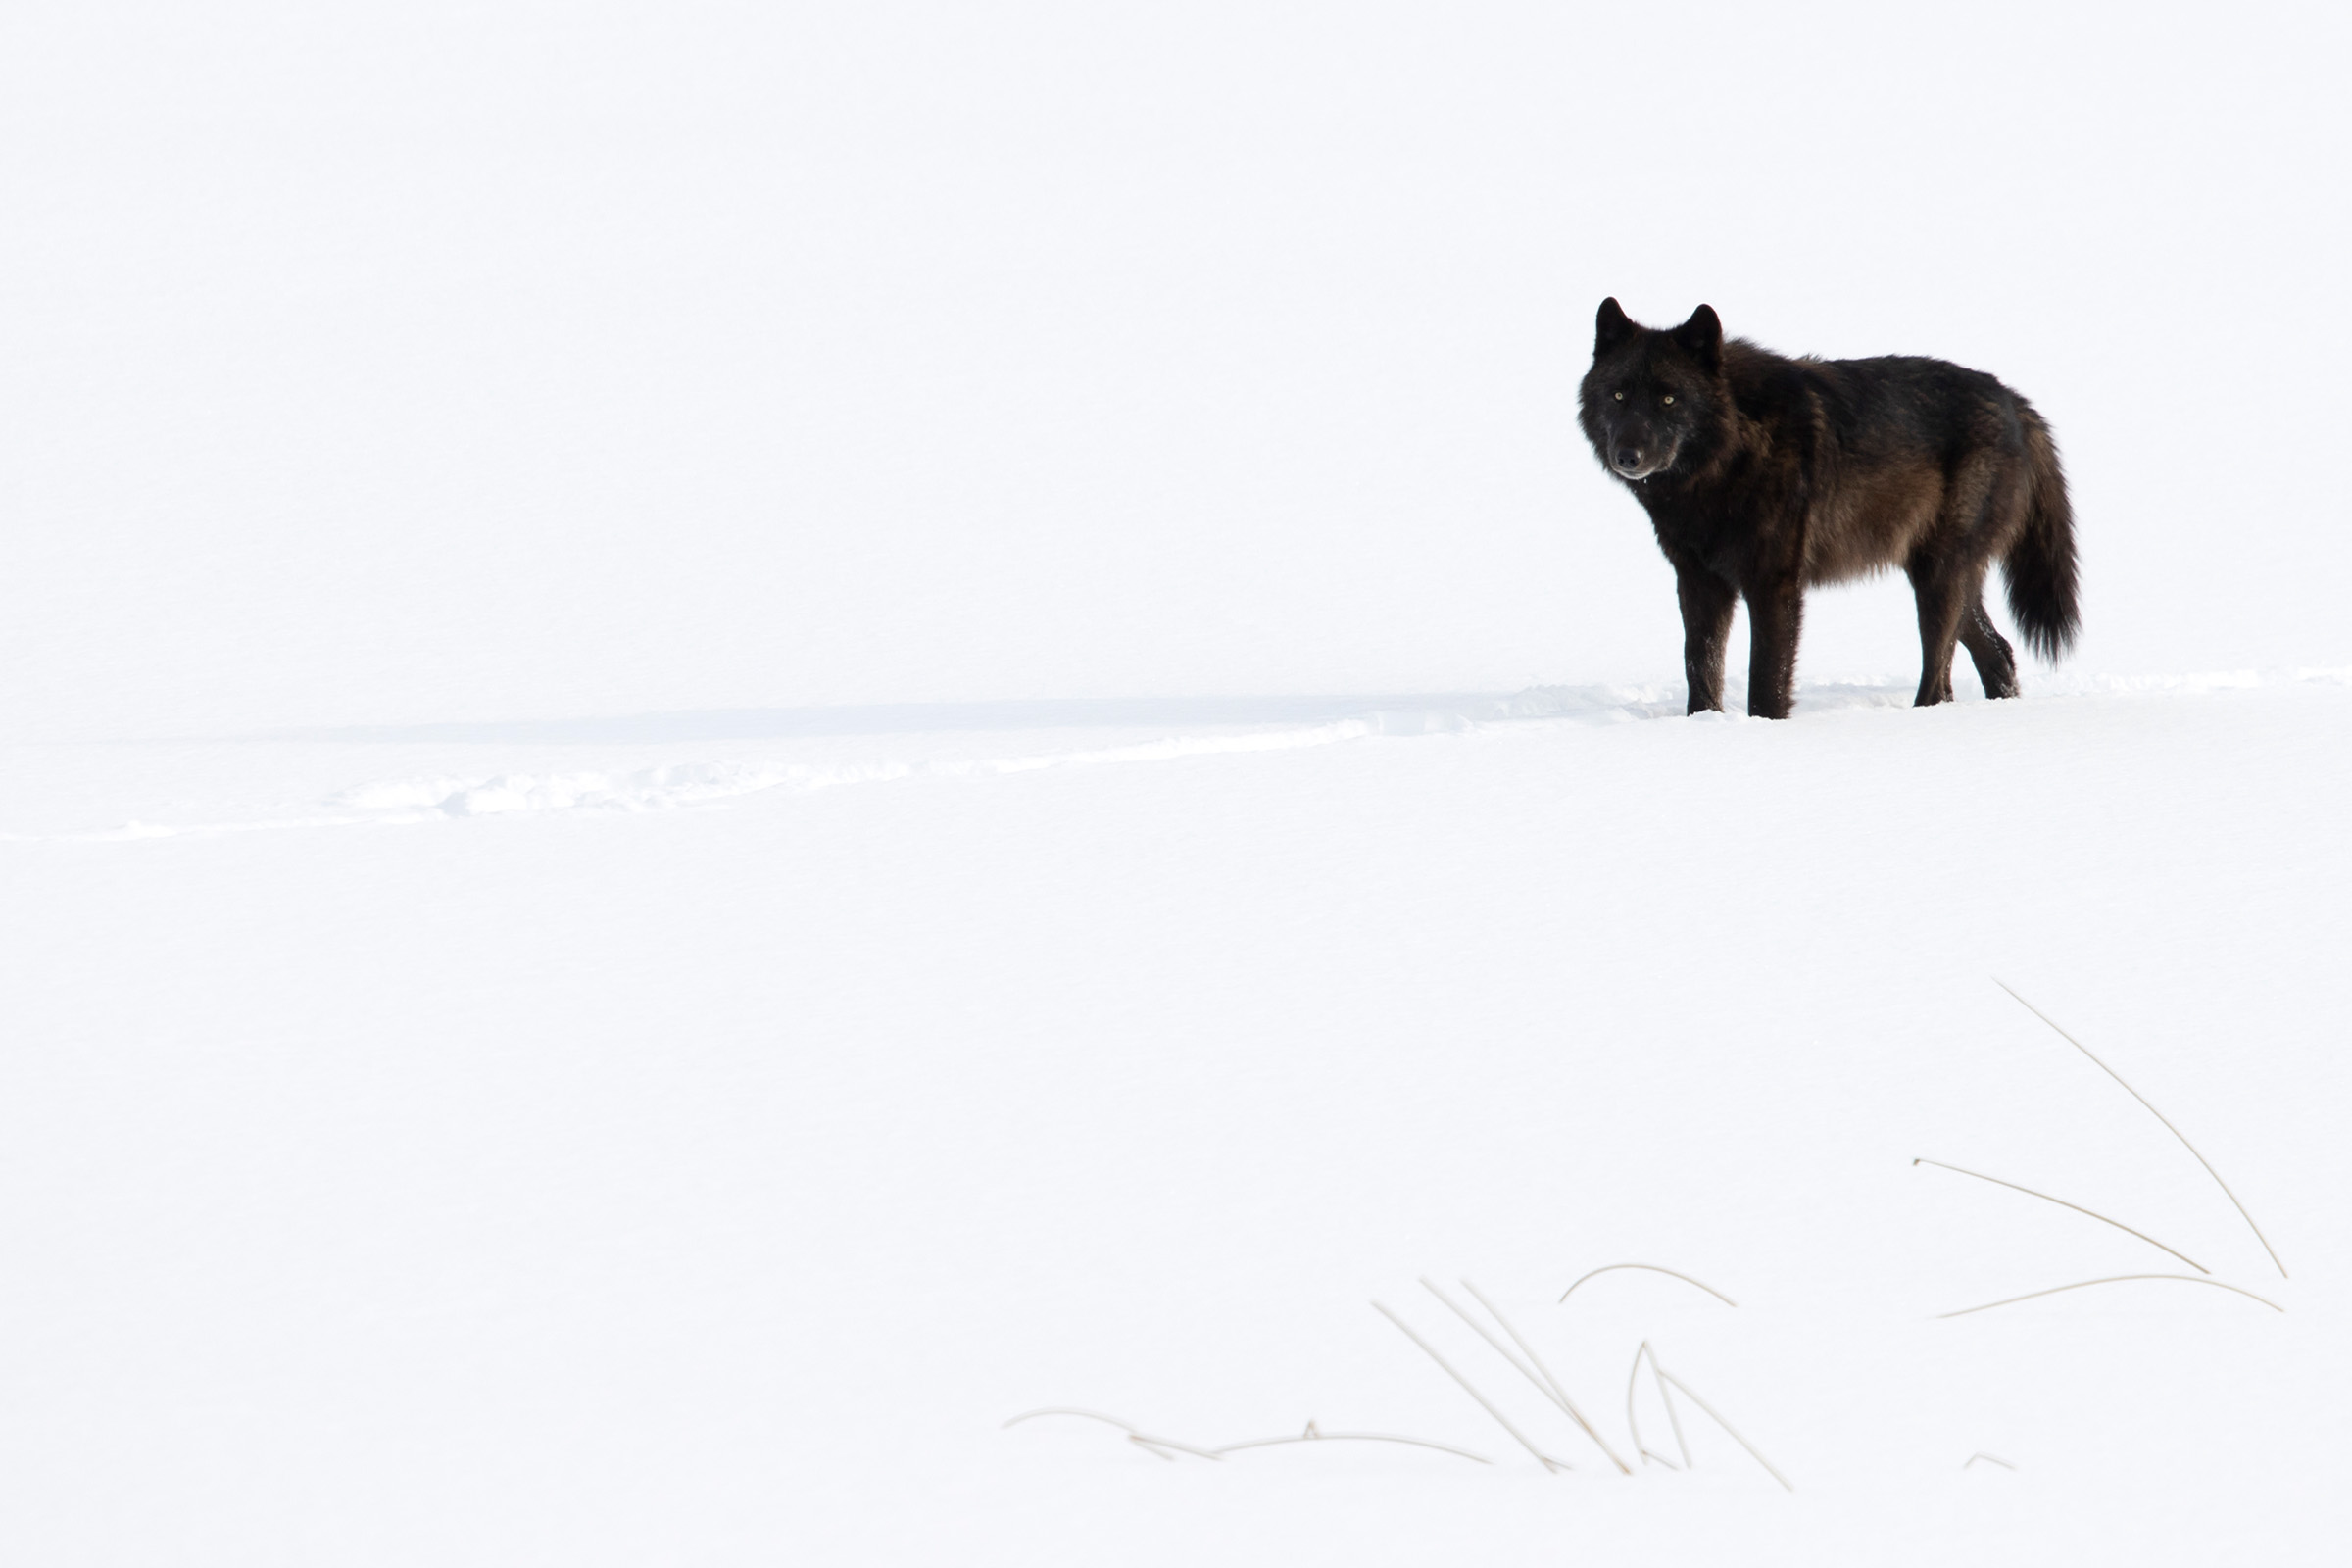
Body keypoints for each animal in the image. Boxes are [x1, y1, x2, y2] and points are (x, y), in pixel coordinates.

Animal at [1578, 299, 2079, 719]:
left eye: (1669, 398)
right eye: (1619, 395)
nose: (1628, 456)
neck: (1729, 456)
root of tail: (2015, 401)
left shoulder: (1774, 585)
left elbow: (1766, 682)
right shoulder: (1699, 582)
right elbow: (1699, 667)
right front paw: (1704, 724)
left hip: (1940, 578)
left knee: (1941, 681)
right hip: (1939, 575)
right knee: (1999, 653)